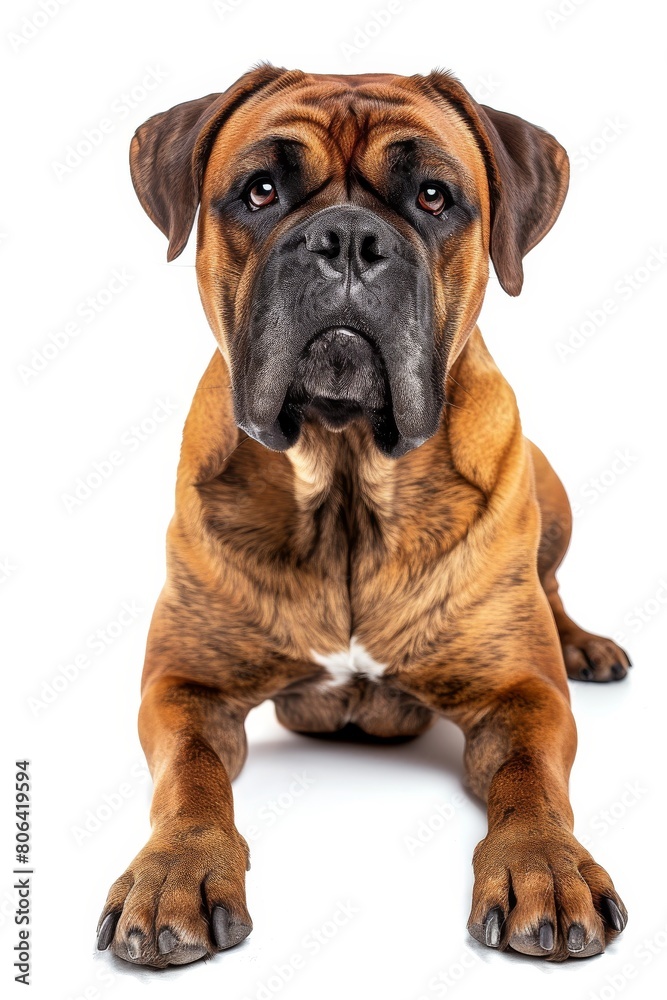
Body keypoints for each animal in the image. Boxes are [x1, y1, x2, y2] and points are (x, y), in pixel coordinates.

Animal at [95, 64, 632, 968]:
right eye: (260, 190)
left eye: (432, 196)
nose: (347, 239)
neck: (345, 476)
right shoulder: (184, 686)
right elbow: (190, 779)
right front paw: (175, 870)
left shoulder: (521, 693)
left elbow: (529, 781)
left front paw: (547, 868)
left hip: (548, 492)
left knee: (551, 582)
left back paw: (584, 643)